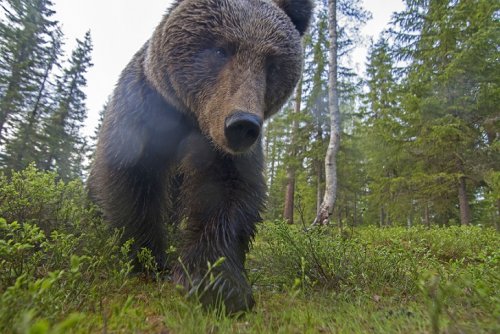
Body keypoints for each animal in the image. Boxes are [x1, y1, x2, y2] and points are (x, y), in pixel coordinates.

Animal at [88, 0, 310, 314]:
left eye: (273, 64)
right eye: (221, 50)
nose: (242, 125)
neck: (190, 119)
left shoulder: (223, 148)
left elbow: (226, 193)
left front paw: (216, 283)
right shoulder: (145, 107)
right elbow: (133, 177)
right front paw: (147, 258)